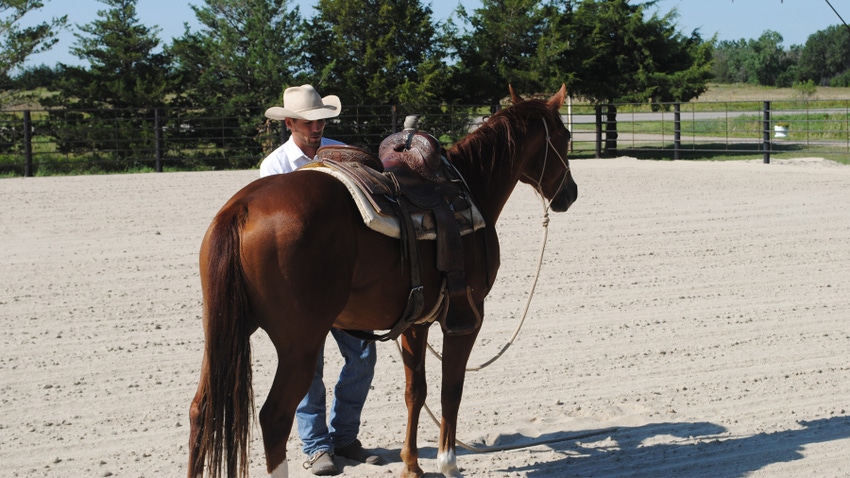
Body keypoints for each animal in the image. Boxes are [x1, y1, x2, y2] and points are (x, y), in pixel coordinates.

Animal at [187, 86, 576, 478]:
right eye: (565, 136)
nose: (570, 194)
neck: (469, 187)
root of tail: (240, 208)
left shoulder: (416, 322)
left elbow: (415, 391)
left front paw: (412, 465)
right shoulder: (466, 317)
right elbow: (451, 389)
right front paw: (448, 463)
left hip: (224, 330)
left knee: (201, 411)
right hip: (299, 345)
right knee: (275, 418)